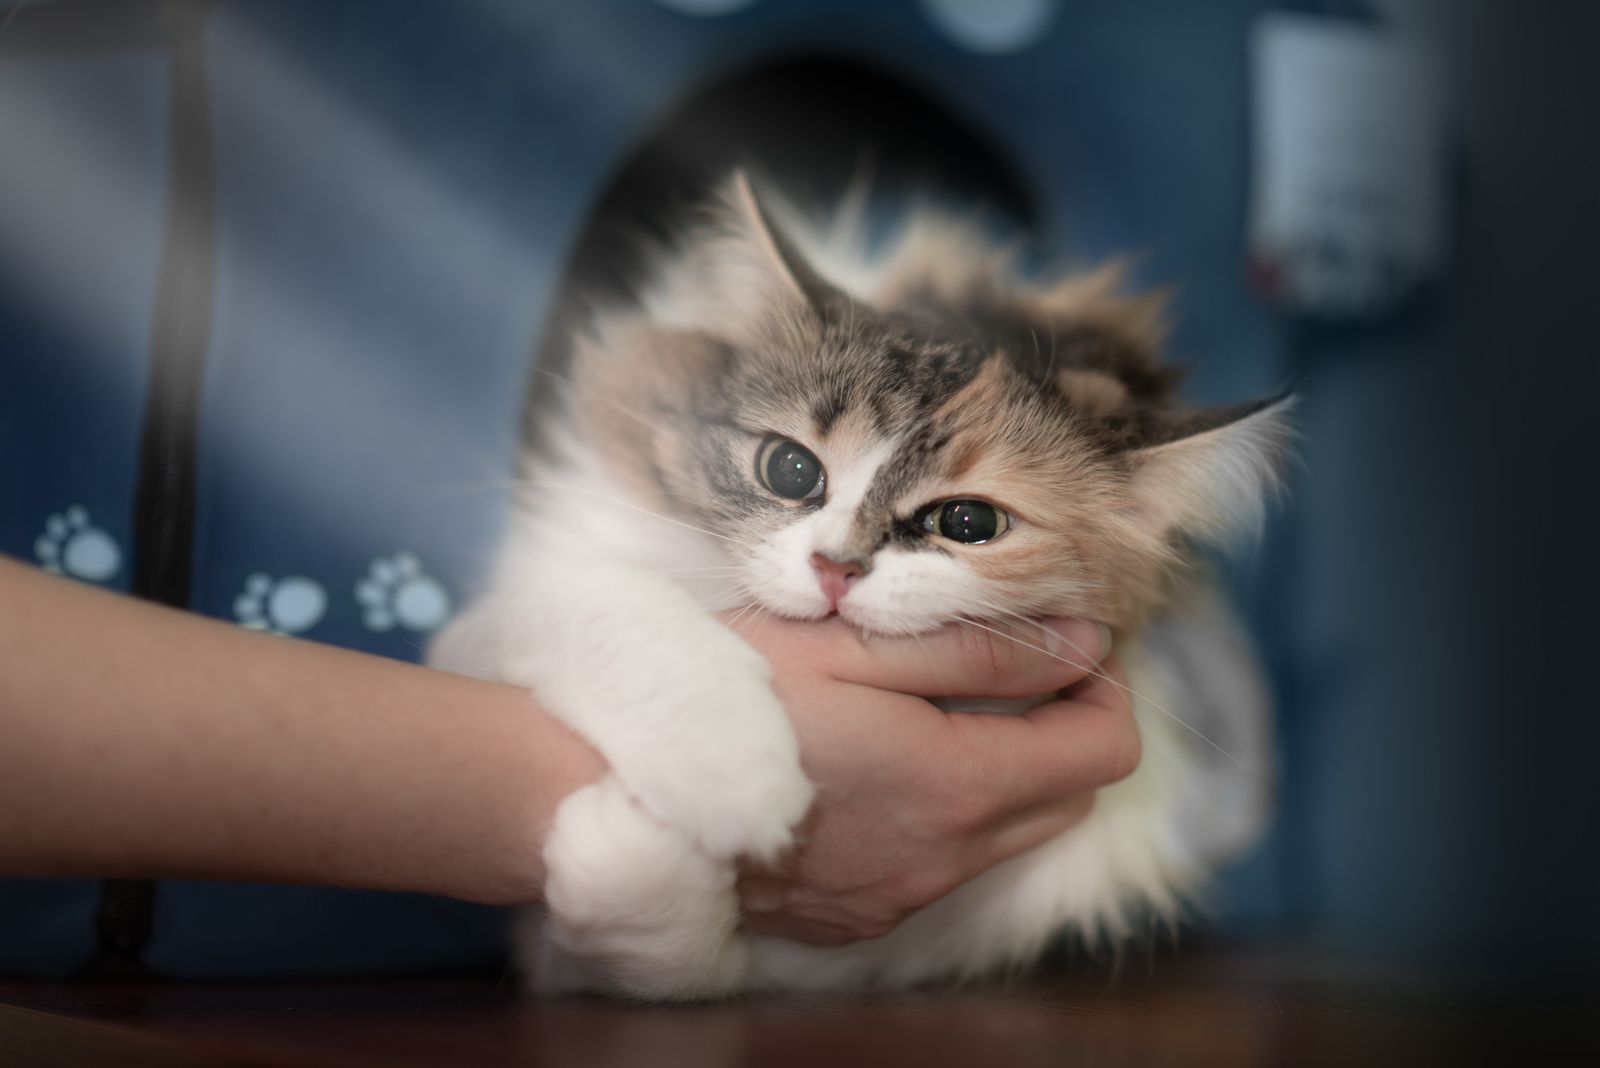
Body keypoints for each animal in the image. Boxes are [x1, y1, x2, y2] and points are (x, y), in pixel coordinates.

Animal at [432, 171, 1292, 997]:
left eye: (968, 522)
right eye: (790, 469)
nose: (836, 567)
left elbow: (675, 962)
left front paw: (623, 839)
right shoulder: (500, 621)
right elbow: (614, 611)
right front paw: (731, 771)